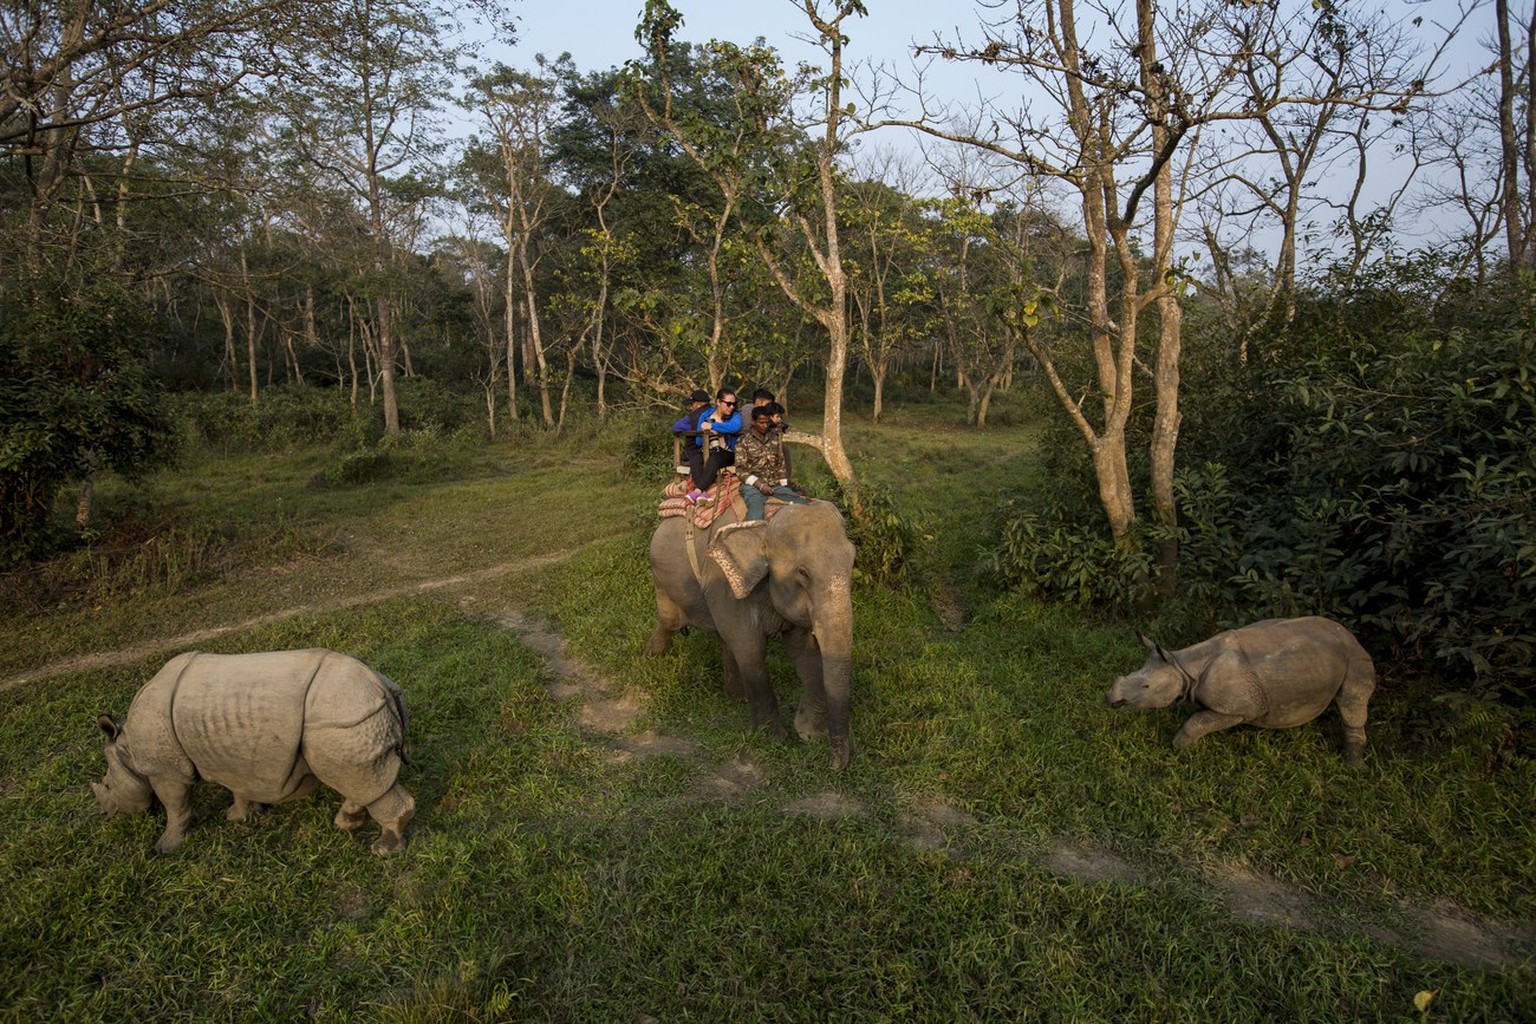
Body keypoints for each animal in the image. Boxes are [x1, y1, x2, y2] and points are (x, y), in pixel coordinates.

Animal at [645, 497, 860, 767]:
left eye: (852, 561)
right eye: (802, 573)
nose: (833, 765)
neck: (765, 522)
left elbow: (802, 651)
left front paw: (809, 733)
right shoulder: (724, 582)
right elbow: (750, 649)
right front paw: (774, 740)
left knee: (723, 637)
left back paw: (737, 697)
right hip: (663, 580)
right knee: (670, 620)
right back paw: (651, 657)